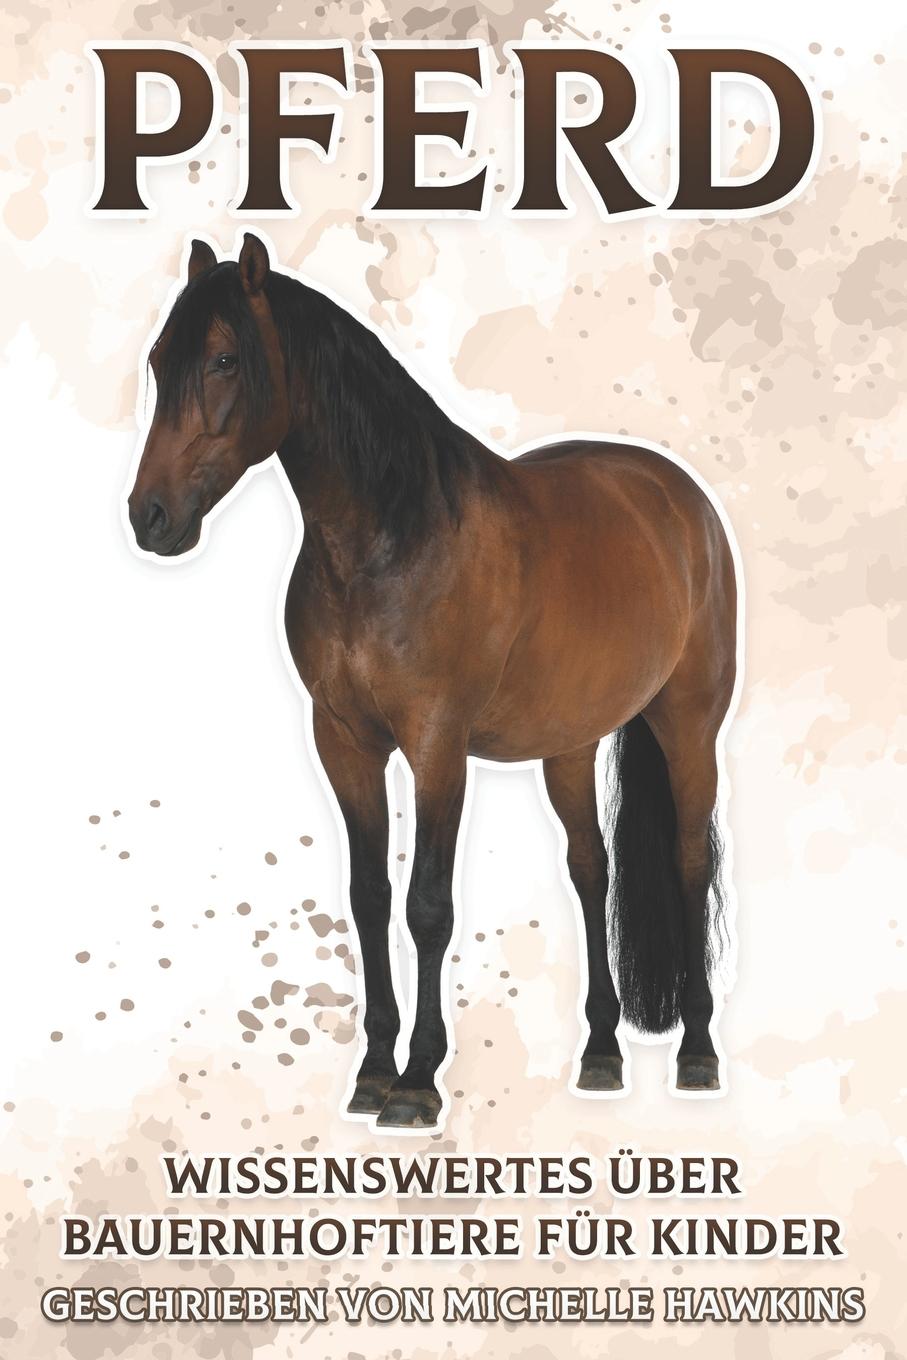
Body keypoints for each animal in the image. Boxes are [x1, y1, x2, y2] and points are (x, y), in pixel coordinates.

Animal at [127, 232, 738, 1129]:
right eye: (158, 362)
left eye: (224, 360)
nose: (150, 517)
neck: (390, 539)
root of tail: (681, 499)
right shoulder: (343, 742)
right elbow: (369, 896)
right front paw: (372, 1070)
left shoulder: (436, 747)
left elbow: (426, 905)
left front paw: (416, 1081)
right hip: (568, 746)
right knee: (589, 869)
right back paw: (598, 1051)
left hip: (687, 725)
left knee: (689, 861)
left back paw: (697, 1049)